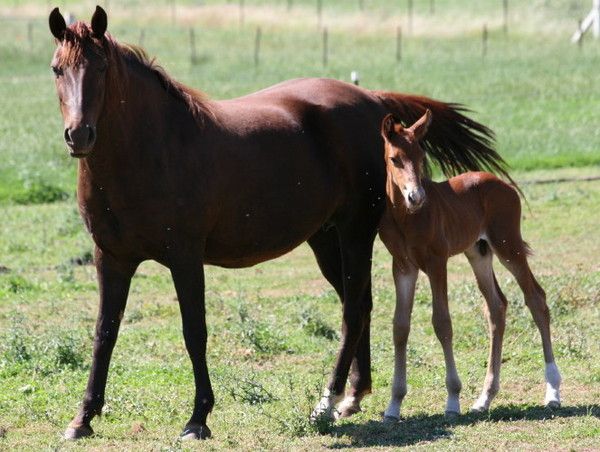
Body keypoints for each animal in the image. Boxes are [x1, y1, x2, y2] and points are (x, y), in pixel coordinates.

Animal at [48, 6, 511, 440]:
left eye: (101, 68)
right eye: (57, 68)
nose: (79, 135)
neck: (154, 148)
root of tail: (372, 99)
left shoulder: (185, 258)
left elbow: (194, 331)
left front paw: (198, 419)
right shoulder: (111, 258)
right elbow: (104, 334)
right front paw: (82, 418)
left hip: (355, 232)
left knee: (353, 309)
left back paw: (327, 401)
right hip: (325, 239)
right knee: (358, 302)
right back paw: (352, 396)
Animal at [377, 112, 561, 421]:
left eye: (421, 155)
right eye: (394, 158)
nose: (416, 196)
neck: (406, 218)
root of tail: (503, 184)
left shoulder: (436, 262)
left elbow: (442, 323)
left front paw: (452, 400)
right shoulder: (403, 266)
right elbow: (400, 327)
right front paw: (393, 406)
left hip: (508, 246)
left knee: (536, 298)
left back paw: (553, 392)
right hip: (479, 252)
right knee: (496, 307)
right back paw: (484, 399)